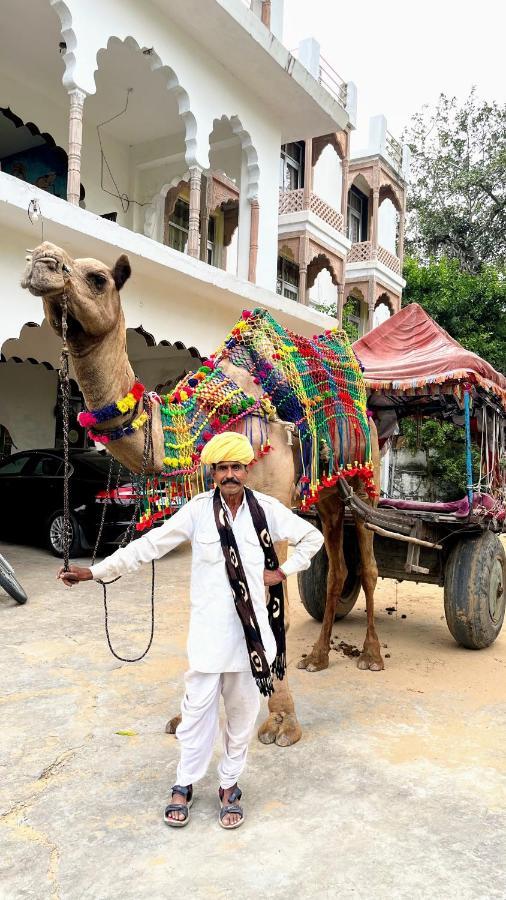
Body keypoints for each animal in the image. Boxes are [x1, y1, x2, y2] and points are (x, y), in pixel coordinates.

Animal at [20, 239, 384, 744]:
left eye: (97, 278)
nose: (42, 260)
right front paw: (188, 716)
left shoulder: (271, 504)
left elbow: (274, 607)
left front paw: (282, 723)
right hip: (326, 490)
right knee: (336, 562)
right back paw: (318, 656)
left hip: (366, 474)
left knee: (367, 563)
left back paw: (370, 655)